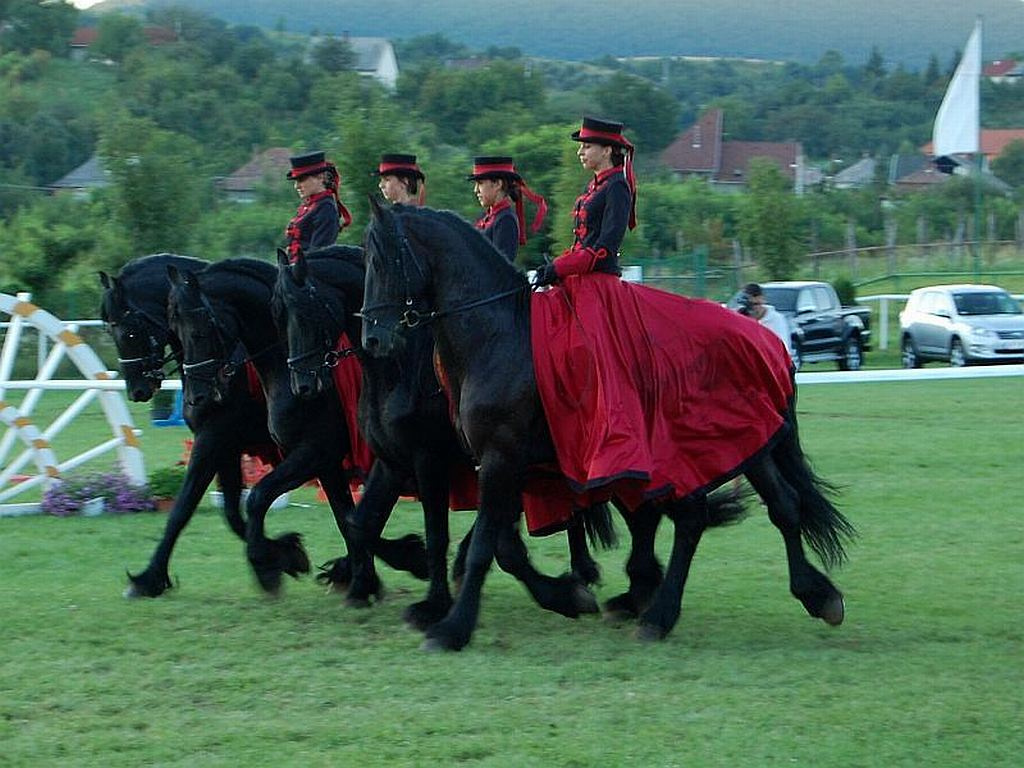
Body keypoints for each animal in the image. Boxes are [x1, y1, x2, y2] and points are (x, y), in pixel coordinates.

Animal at [99, 256, 272, 598]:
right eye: (109, 331)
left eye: (130, 332)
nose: (137, 391)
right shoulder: (226, 448)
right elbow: (232, 513)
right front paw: (275, 556)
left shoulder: (212, 440)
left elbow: (182, 508)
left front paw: (148, 578)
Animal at [165, 259, 421, 602]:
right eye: (174, 328)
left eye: (199, 329)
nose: (197, 397)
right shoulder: (324, 463)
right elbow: (346, 516)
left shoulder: (312, 453)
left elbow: (258, 497)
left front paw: (268, 565)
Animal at [268, 246, 610, 630]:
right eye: (277, 315)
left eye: (304, 310)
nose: (302, 385)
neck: (400, 366)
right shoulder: (392, 461)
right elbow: (358, 523)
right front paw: (379, 574)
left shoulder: (430, 461)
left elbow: (437, 534)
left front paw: (432, 598)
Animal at [360, 201, 856, 651]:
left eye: (384, 261)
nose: (373, 338)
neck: (496, 337)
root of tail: (770, 341)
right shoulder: (496, 465)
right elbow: (498, 544)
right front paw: (565, 594)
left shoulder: (498, 458)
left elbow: (483, 544)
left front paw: (452, 628)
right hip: (745, 443)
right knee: (776, 506)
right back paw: (812, 595)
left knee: (701, 516)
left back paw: (659, 614)